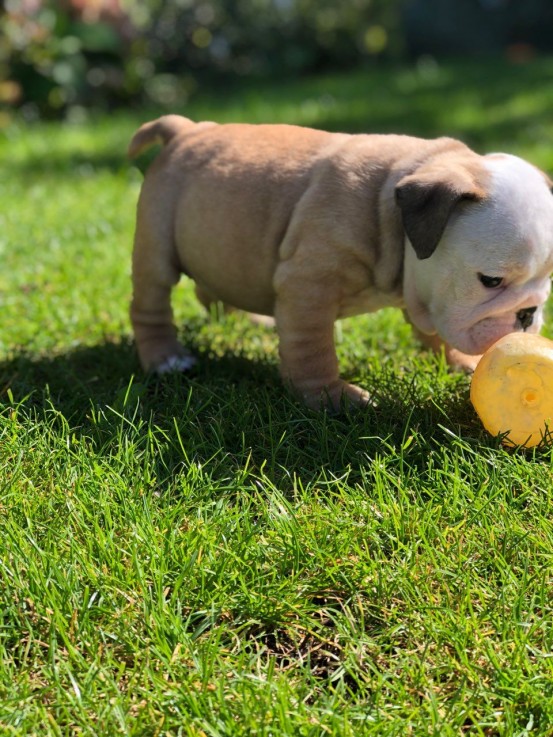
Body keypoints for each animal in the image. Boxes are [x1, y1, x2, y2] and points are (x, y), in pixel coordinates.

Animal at [127, 118, 552, 412]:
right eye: (490, 281)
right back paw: (166, 358)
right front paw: (330, 398)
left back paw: (251, 320)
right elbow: (312, 349)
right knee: (150, 304)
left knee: (211, 289)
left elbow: (437, 332)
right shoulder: (309, 287)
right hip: (156, 246)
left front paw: (461, 361)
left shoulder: (429, 297)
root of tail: (186, 130)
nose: (528, 313)